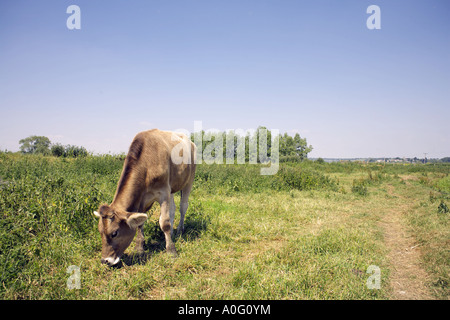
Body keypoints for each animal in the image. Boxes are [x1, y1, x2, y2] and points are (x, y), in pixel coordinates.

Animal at [93, 129, 195, 266]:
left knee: (183, 207)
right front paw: (139, 247)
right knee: (173, 209)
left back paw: (179, 230)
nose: (105, 260)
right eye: (100, 231)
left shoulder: (163, 192)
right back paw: (173, 233)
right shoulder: (142, 198)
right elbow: (140, 223)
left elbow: (165, 222)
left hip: (189, 180)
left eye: (114, 233)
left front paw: (171, 250)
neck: (147, 163)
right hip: (172, 187)